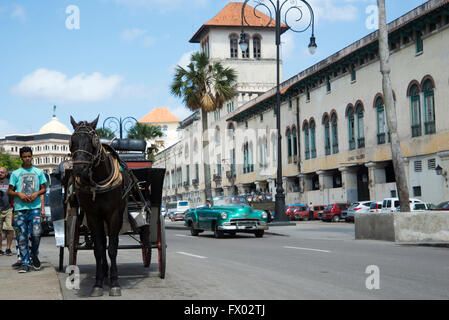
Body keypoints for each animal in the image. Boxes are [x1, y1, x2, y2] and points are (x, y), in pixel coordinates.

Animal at [69, 115, 127, 298]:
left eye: (92, 141)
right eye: (72, 141)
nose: (79, 169)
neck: (98, 183)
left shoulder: (113, 214)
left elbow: (113, 248)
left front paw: (115, 283)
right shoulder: (93, 216)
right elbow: (99, 249)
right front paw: (98, 283)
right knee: (101, 242)